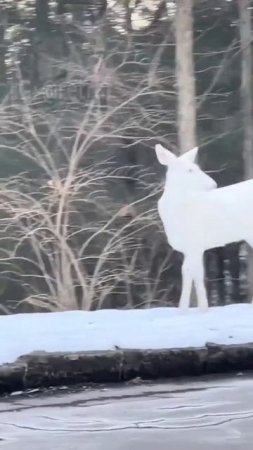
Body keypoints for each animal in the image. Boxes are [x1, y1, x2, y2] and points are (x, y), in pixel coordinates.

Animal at [155, 143, 253, 310]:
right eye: (190, 170)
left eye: (197, 167)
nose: (213, 184)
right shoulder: (194, 248)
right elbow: (197, 274)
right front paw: (202, 309)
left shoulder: (194, 242)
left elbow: (187, 272)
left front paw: (184, 310)